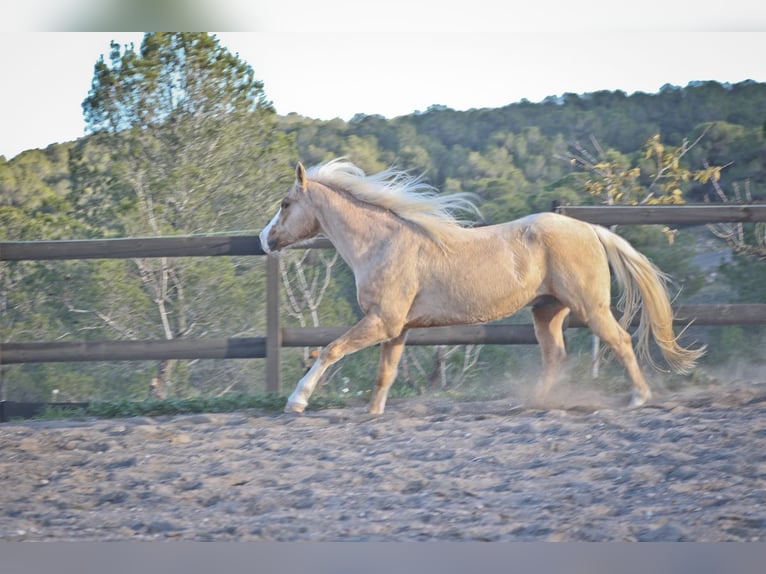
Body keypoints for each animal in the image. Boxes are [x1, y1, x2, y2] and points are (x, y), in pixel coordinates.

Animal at [260, 160, 704, 416]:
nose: (265, 240)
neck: (383, 243)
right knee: (555, 356)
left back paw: (639, 397)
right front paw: (373, 414)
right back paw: (534, 403)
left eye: (285, 203)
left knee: (620, 342)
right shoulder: (396, 329)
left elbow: (330, 350)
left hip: (590, 308)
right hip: (546, 311)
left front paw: (297, 401)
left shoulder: (382, 322)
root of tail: (589, 229)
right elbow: (385, 374)